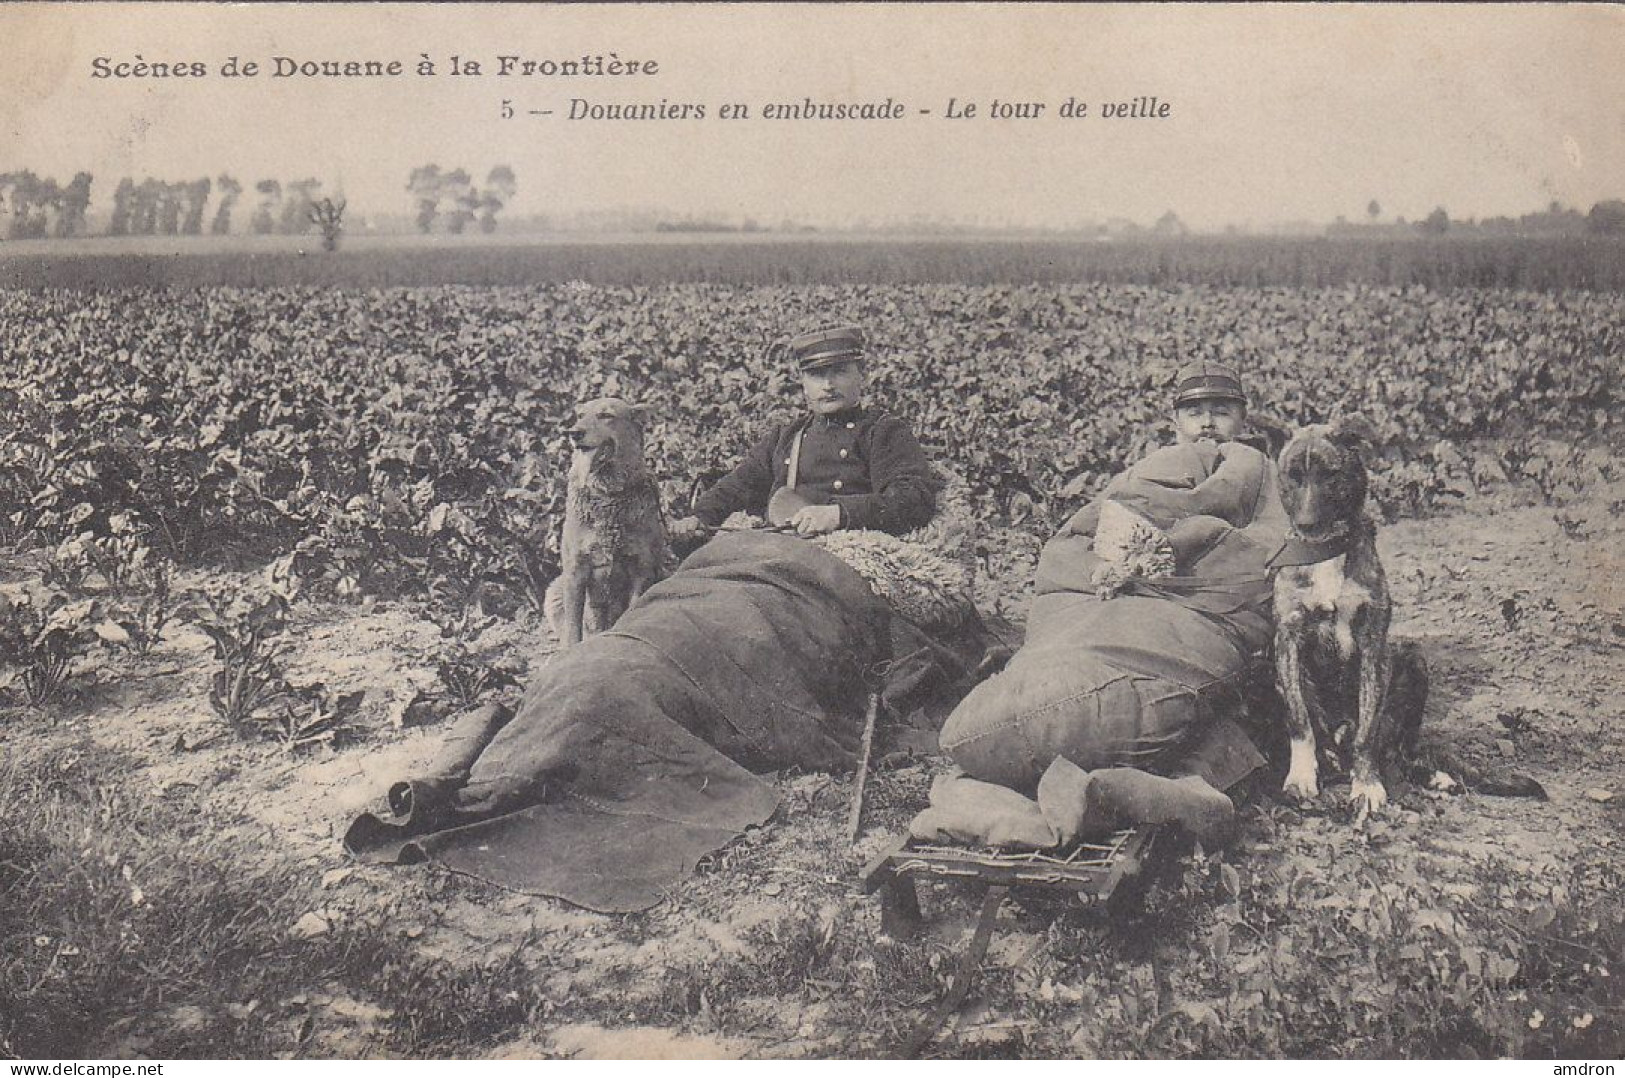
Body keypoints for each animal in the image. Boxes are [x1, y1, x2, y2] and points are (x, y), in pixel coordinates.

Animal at [546, 398, 672, 643]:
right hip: (555, 589)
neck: (609, 496)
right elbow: (573, 626)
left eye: (606, 415)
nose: (574, 432)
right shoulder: (575, 570)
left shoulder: (641, 568)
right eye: (580, 415)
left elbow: (633, 607)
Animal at [1267, 414, 1397, 819]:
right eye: (1293, 476)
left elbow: (1368, 730)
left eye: (1330, 475)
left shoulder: (1373, 645)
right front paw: (1300, 776)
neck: (1325, 552)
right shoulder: (1288, 641)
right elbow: (1300, 720)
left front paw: (1367, 784)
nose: (1307, 524)